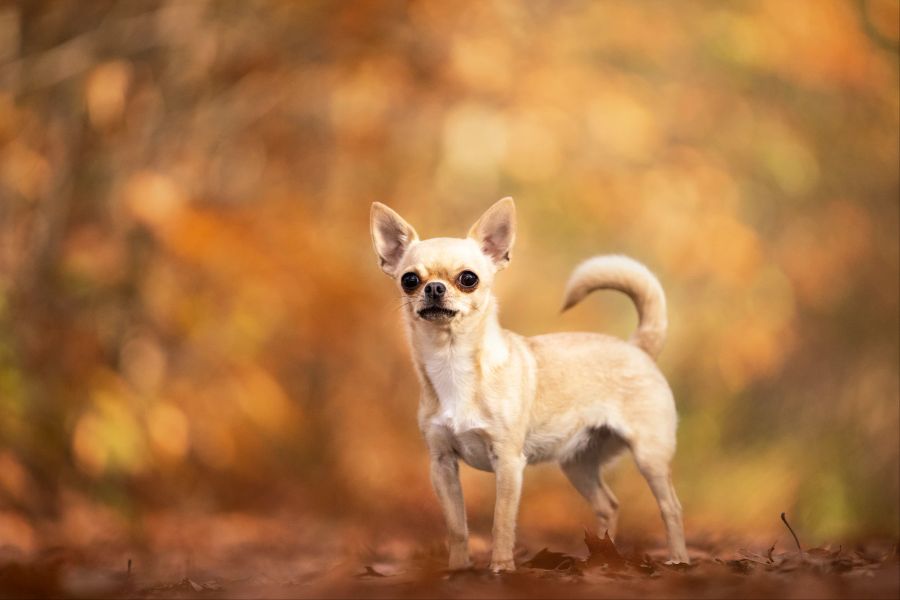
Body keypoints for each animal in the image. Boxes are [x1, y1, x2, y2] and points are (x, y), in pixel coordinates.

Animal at [368, 198, 688, 572]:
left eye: (468, 279)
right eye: (409, 280)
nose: (433, 288)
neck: (452, 362)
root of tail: (638, 346)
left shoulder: (507, 462)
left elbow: (502, 521)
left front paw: (501, 568)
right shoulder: (442, 465)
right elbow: (457, 526)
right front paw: (458, 570)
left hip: (650, 456)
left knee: (671, 507)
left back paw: (679, 560)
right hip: (577, 463)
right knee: (608, 504)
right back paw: (599, 559)